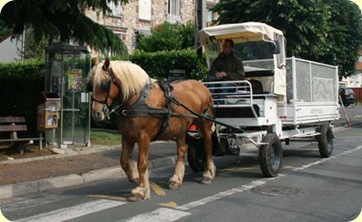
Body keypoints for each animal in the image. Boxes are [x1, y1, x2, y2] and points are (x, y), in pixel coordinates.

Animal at [87, 58, 218, 201]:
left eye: (104, 84)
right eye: (91, 85)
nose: (96, 113)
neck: (137, 100)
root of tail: (203, 86)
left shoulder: (143, 137)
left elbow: (142, 163)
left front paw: (141, 190)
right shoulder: (127, 136)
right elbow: (124, 161)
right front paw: (135, 177)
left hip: (204, 124)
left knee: (208, 146)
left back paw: (208, 174)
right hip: (181, 128)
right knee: (182, 150)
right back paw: (176, 179)